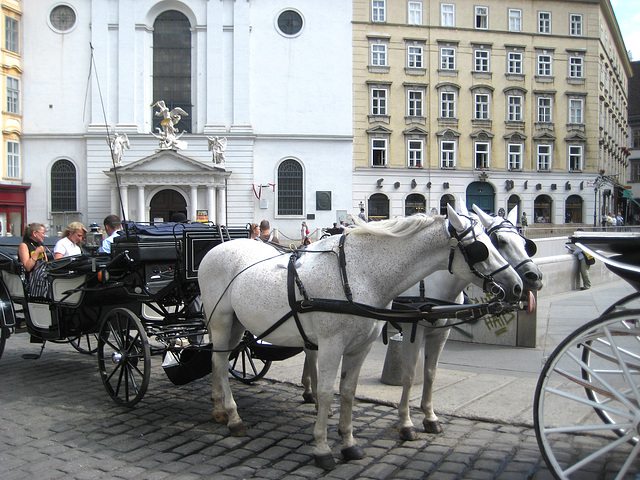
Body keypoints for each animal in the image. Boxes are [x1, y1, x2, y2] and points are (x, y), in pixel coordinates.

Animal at [200, 206, 524, 468]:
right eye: (484, 247)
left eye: (512, 242)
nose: (519, 285)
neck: (359, 275)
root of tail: (216, 249)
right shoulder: (334, 345)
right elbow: (328, 393)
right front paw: (322, 448)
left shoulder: (362, 347)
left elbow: (348, 392)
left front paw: (349, 443)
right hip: (221, 321)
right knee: (219, 363)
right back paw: (233, 416)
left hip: (237, 324)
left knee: (219, 360)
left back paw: (219, 408)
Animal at [398, 204, 544, 440]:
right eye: (499, 242)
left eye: (525, 244)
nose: (535, 278)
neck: (432, 280)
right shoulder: (414, 331)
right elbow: (409, 376)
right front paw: (405, 422)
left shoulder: (440, 333)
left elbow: (430, 374)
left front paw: (430, 417)